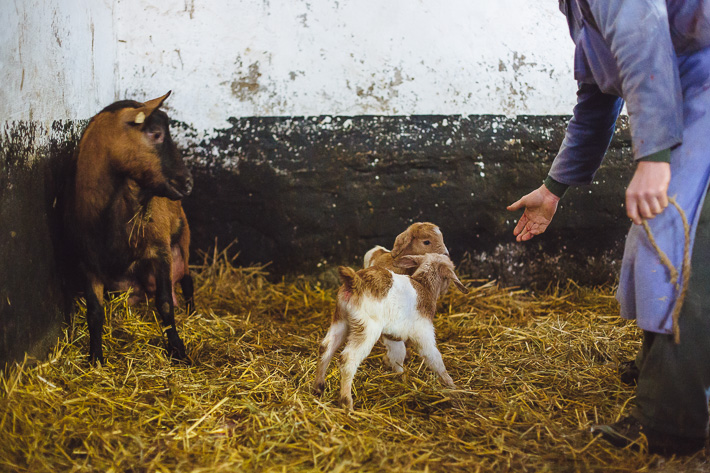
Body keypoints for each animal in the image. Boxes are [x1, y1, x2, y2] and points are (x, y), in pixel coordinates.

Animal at [62, 93, 192, 366]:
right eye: (156, 134)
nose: (188, 183)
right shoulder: (88, 262)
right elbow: (94, 312)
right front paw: (95, 358)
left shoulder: (161, 250)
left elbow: (165, 303)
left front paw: (177, 350)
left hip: (183, 242)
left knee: (187, 282)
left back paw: (193, 311)